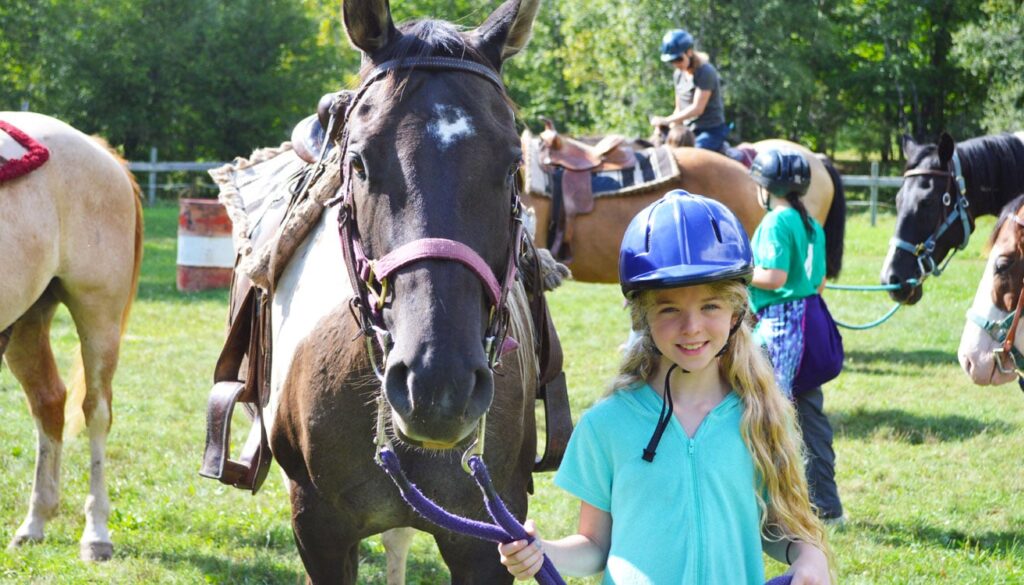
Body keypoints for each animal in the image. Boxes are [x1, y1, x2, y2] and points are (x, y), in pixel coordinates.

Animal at [0, 111, 145, 561]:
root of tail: (98, 149)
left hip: (99, 317)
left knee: (95, 412)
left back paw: (96, 531)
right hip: (25, 321)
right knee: (48, 402)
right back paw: (35, 520)